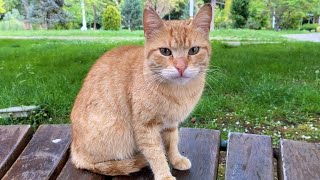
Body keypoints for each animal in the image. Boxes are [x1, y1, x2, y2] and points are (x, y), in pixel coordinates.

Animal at [71, 4, 212, 180]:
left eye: (194, 50)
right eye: (165, 51)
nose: (181, 67)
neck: (179, 92)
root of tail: (74, 151)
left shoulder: (170, 124)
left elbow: (172, 143)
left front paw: (176, 159)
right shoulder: (146, 127)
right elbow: (156, 154)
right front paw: (164, 175)